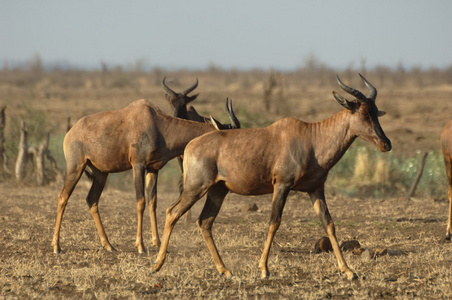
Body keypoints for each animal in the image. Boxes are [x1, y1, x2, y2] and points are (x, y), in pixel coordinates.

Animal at [50, 91, 238, 253]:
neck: (156, 123)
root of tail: (71, 131)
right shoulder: (138, 165)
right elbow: (140, 201)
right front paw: (141, 246)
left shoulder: (153, 169)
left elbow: (152, 202)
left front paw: (158, 243)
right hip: (76, 167)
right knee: (62, 197)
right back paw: (56, 247)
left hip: (101, 173)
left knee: (92, 200)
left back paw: (109, 245)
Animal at [152, 74, 392, 280]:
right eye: (363, 113)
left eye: (376, 111)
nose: (386, 144)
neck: (311, 138)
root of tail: (191, 145)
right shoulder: (282, 186)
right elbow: (274, 222)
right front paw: (264, 269)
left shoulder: (315, 190)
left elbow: (329, 223)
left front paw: (349, 271)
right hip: (196, 187)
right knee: (172, 212)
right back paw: (157, 265)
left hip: (218, 190)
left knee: (205, 222)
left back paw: (224, 270)